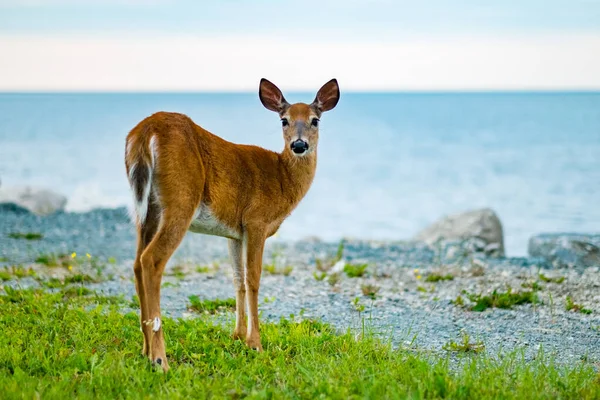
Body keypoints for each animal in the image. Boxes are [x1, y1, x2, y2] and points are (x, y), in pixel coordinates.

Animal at [124, 78, 340, 372]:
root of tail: (146, 131)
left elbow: (238, 279)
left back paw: (145, 350)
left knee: (136, 262)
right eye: (283, 120)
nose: (299, 145)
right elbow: (254, 278)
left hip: (147, 210)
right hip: (181, 198)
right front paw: (256, 343)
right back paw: (160, 359)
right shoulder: (256, 221)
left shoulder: (234, 233)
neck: (282, 179)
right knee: (151, 260)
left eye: (315, 120)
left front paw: (237, 335)